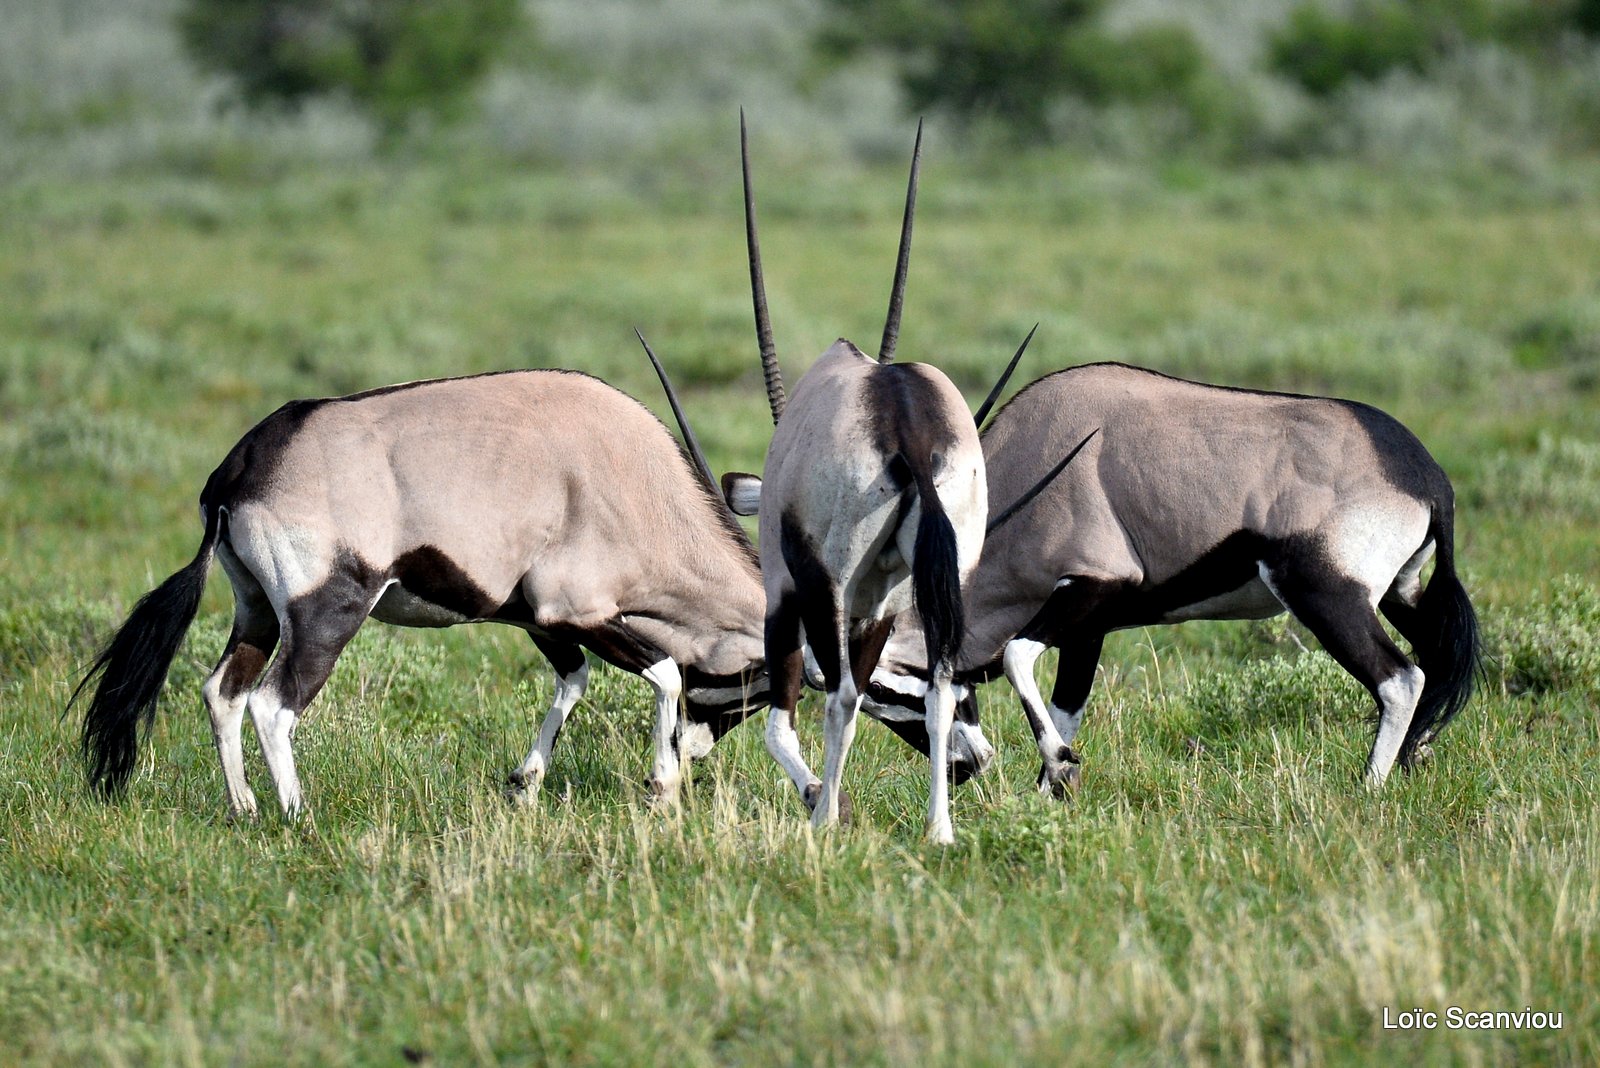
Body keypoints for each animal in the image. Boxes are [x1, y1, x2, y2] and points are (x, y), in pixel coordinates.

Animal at [70, 367, 774, 818]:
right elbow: (666, 673)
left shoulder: (540, 621)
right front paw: (661, 787)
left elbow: (572, 682)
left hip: (257, 611)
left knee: (223, 692)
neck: (633, 484)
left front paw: (523, 787)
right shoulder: (576, 611)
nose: (695, 753)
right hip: (327, 615)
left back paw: (243, 809)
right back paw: (298, 817)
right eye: (764, 681)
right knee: (273, 704)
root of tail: (240, 468)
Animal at [726, 116, 985, 844]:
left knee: (840, 696)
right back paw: (940, 830)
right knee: (941, 686)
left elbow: (782, 725)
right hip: (935, 579)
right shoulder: (878, 608)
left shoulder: (787, 597)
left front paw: (821, 797)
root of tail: (905, 426)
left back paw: (823, 823)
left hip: (824, 586)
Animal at [870, 362, 1478, 789]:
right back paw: (1413, 760)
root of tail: (1427, 477)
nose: (963, 769)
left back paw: (1368, 788)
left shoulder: (1090, 588)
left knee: (1400, 678)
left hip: (1327, 596)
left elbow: (1020, 656)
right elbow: (1067, 709)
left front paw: (1059, 767)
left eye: (881, 687)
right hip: (1399, 593)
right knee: (1433, 659)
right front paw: (1053, 792)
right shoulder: (1087, 627)